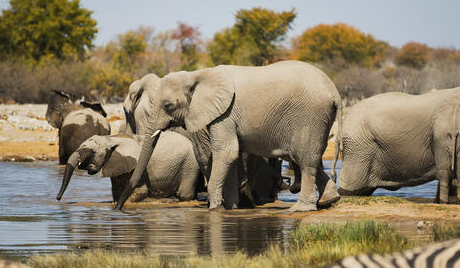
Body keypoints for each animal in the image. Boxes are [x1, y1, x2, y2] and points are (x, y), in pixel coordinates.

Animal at [55, 131, 199, 203]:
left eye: (92, 152)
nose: (58, 198)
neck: (112, 138)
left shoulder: (136, 164)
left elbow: (140, 190)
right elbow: (116, 190)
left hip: (190, 164)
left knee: (184, 194)